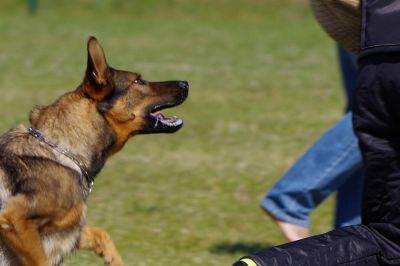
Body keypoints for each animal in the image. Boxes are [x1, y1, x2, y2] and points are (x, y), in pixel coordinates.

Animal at [0, 36, 189, 264]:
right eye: (138, 81)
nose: (186, 83)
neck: (62, 148)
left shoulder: (69, 231)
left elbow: (101, 234)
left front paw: (114, 260)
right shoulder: (13, 219)